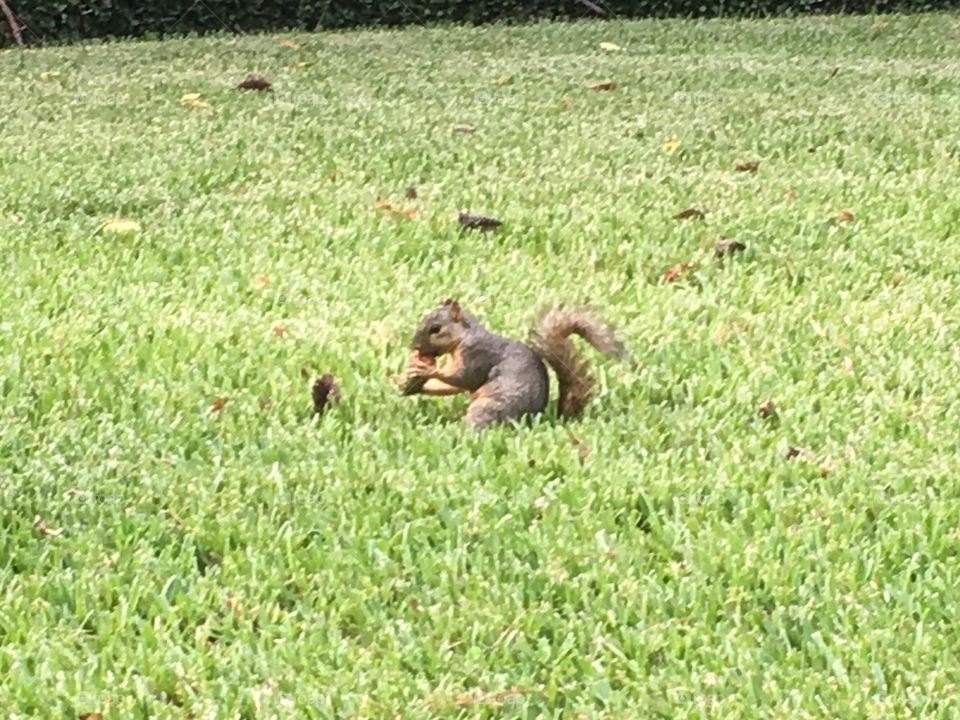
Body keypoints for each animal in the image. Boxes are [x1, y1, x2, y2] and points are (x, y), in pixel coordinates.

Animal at [400, 299, 624, 429]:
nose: (413, 345)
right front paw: (413, 384)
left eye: (436, 328)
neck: (462, 339)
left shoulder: (477, 355)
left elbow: (463, 378)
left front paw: (429, 369)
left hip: (488, 407)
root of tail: (541, 418)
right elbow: (451, 386)